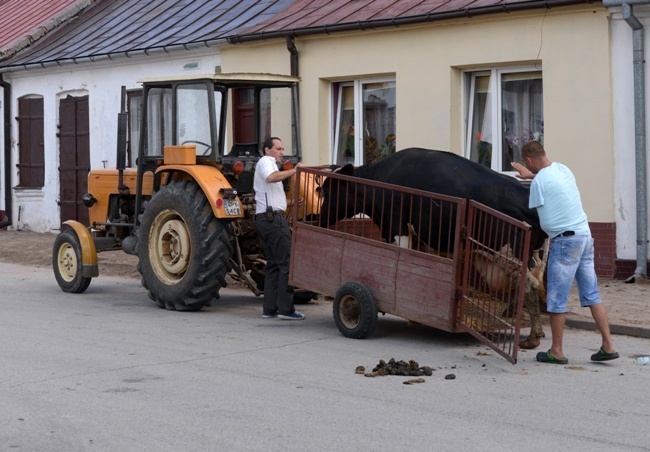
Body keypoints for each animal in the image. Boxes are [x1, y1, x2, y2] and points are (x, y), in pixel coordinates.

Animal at [318, 147, 548, 348]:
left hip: (509, 255)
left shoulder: (397, 226)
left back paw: (532, 335)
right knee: (536, 284)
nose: (320, 218)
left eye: (327, 190)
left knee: (529, 287)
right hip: (531, 256)